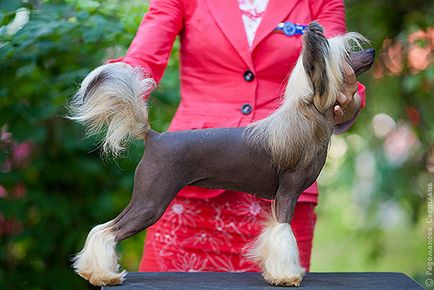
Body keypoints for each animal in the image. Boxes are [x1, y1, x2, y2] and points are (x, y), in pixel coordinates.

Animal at [68, 22, 372, 286]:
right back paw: (105, 276)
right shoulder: (287, 193)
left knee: (103, 229)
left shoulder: (279, 198)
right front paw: (287, 277)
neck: (307, 114)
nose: (371, 52)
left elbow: (275, 231)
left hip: (144, 198)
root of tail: (153, 137)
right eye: (348, 55)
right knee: (108, 231)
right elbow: (283, 232)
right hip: (151, 201)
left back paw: (94, 272)